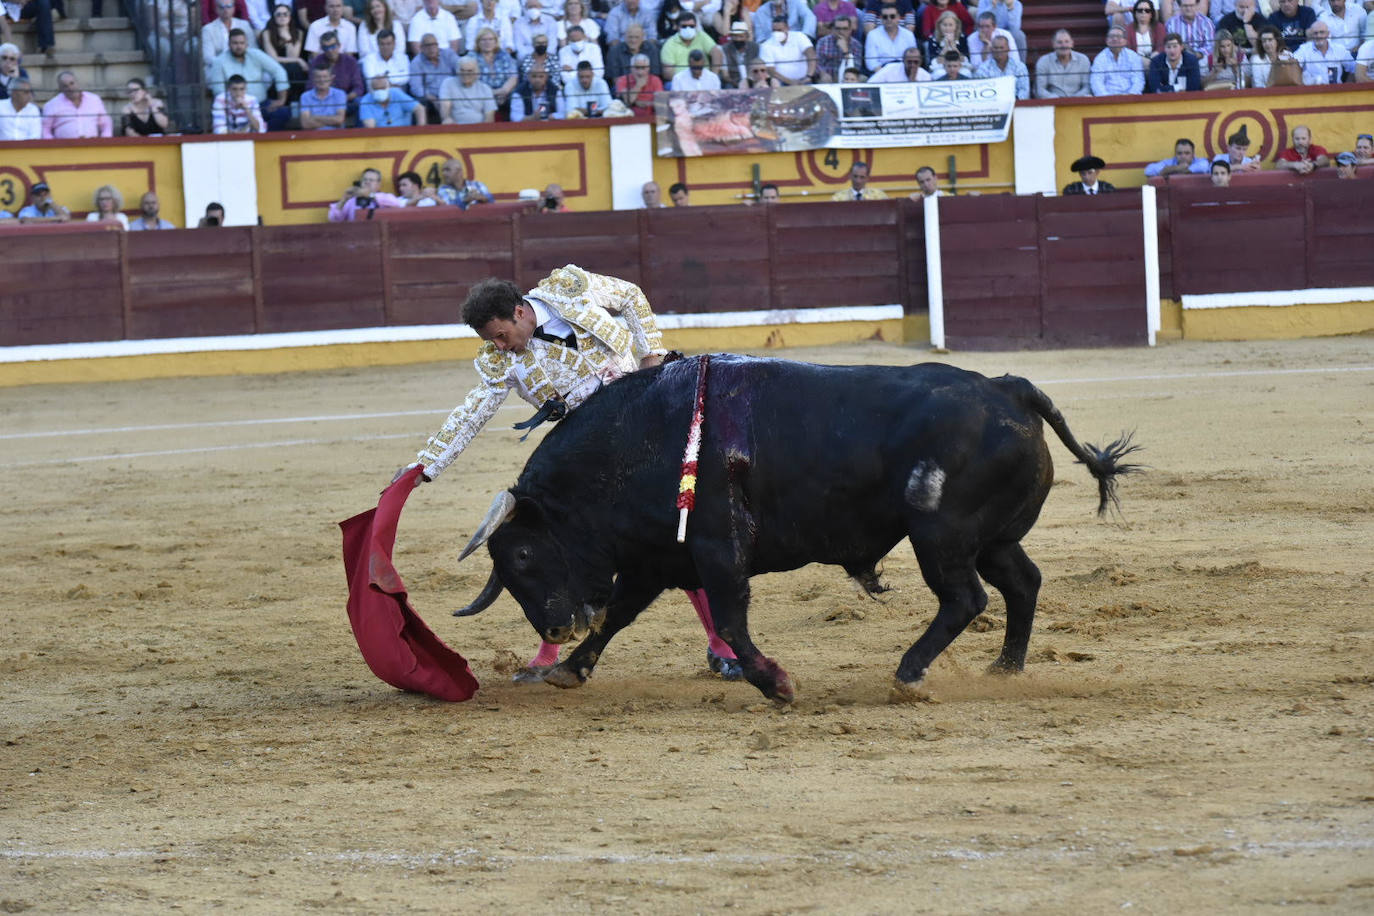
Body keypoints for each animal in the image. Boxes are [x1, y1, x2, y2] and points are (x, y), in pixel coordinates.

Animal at [456, 357, 1132, 703]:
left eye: (521, 554)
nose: (552, 627)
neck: (642, 440)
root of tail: (1008, 388)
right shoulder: (657, 558)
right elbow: (620, 613)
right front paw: (571, 667)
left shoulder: (717, 548)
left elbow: (731, 619)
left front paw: (776, 683)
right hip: (989, 538)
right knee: (1022, 583)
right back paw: (1006, 668)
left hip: (940, 535)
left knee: (967, 598)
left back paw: (910, 674)